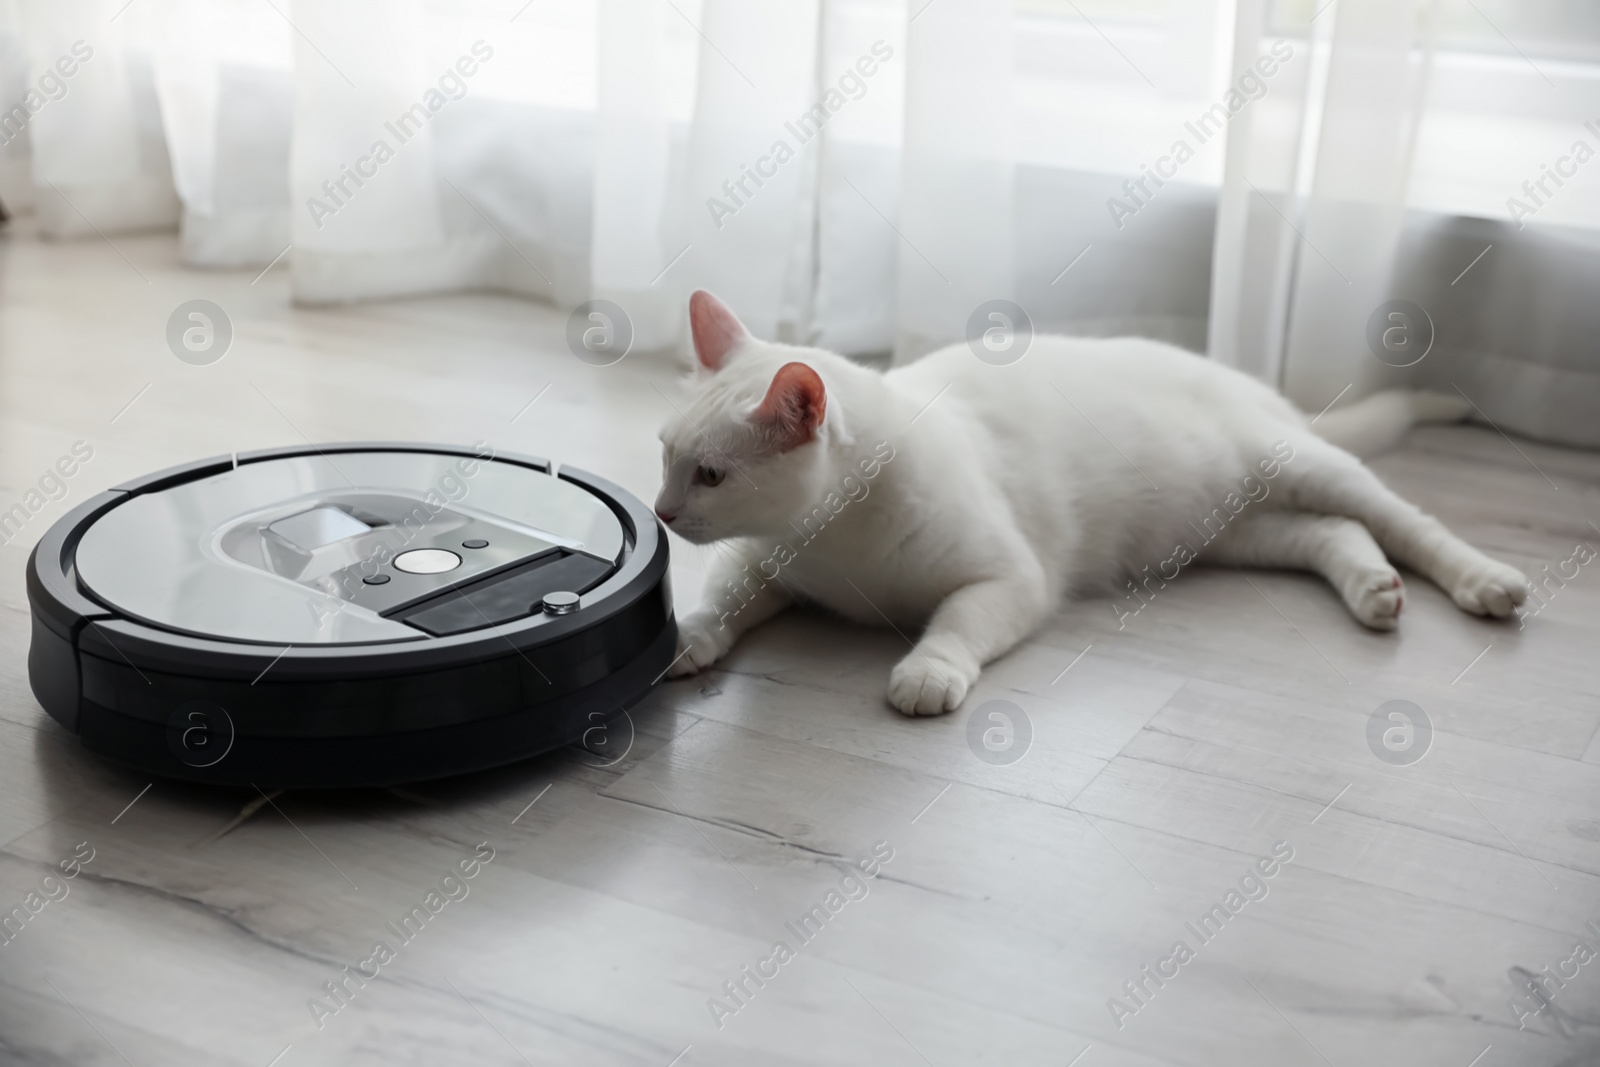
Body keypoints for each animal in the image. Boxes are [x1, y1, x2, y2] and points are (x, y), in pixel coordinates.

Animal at [656, 289, 1529, 716]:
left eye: (711, 476)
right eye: (664, 454)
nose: (661, 512)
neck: (829, 543)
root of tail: (1253, 386)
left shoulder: (1011, 580)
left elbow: (957, 624)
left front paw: (928, 671)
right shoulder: (761, 564)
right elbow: (721, 598)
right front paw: (685, 634)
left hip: (1307, 468)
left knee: (1403, 521)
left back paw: (1485, 581)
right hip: (1240, 530)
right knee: (1337, 534)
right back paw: (1374, 591)